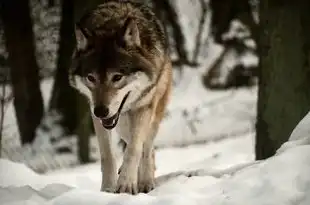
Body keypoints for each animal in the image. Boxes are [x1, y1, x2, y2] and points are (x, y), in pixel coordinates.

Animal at [69, 0, 173, 195]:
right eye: (91, 78)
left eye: (117, 77)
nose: (101, 111)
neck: (112, 24)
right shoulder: (97, 117)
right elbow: (107, 156)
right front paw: (108, 189)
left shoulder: (143, 108)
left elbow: (134, 150)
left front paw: (126, 185)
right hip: (122, 125)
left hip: (152, 114)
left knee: (147, 146)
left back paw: (146, 182)